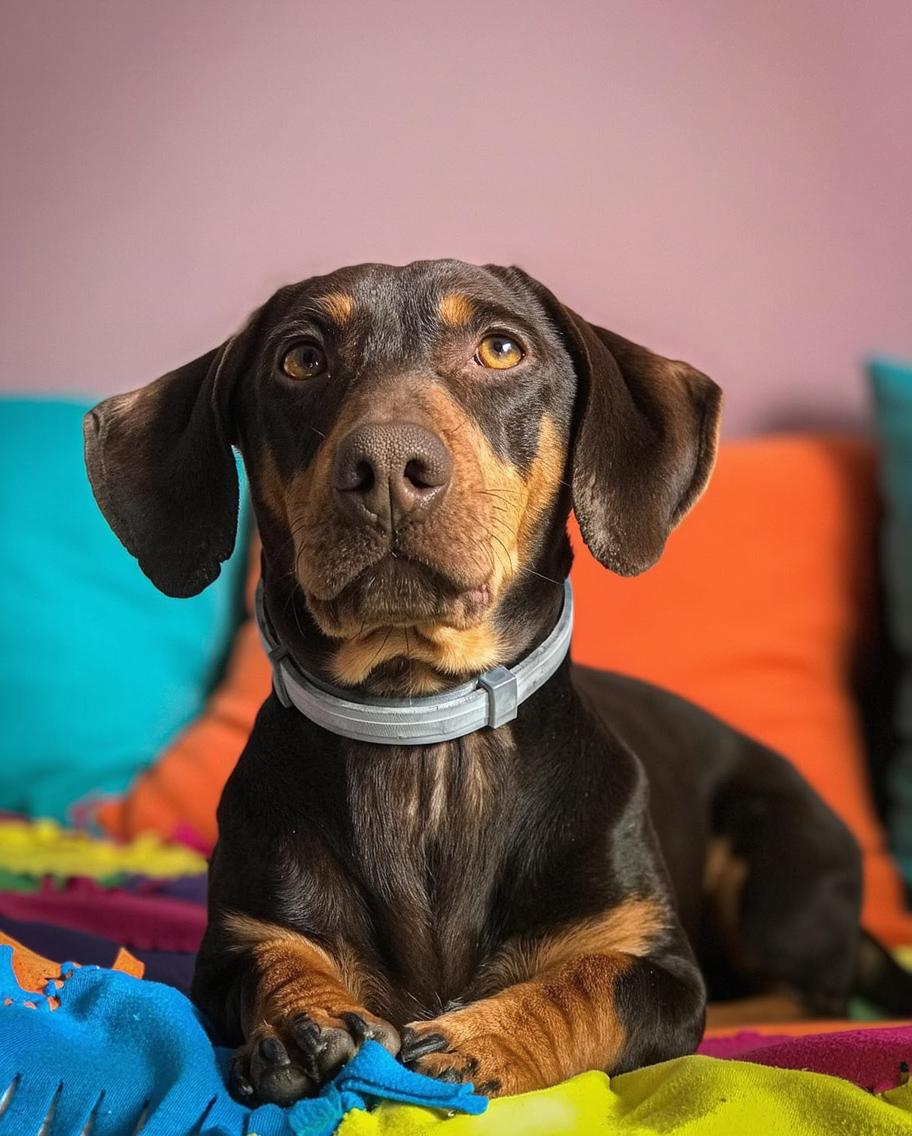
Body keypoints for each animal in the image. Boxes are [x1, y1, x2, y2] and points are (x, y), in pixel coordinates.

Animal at [81, 257, 904, 1099]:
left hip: (779, 855)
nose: (386, 467)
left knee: (809, 999)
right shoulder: (236, 942)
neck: (421, 729)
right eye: (301, 358)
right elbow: (272, 961)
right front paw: (304, 1021)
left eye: (501, 349)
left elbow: (590, 987)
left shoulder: (657, 967)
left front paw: (481, 1039)